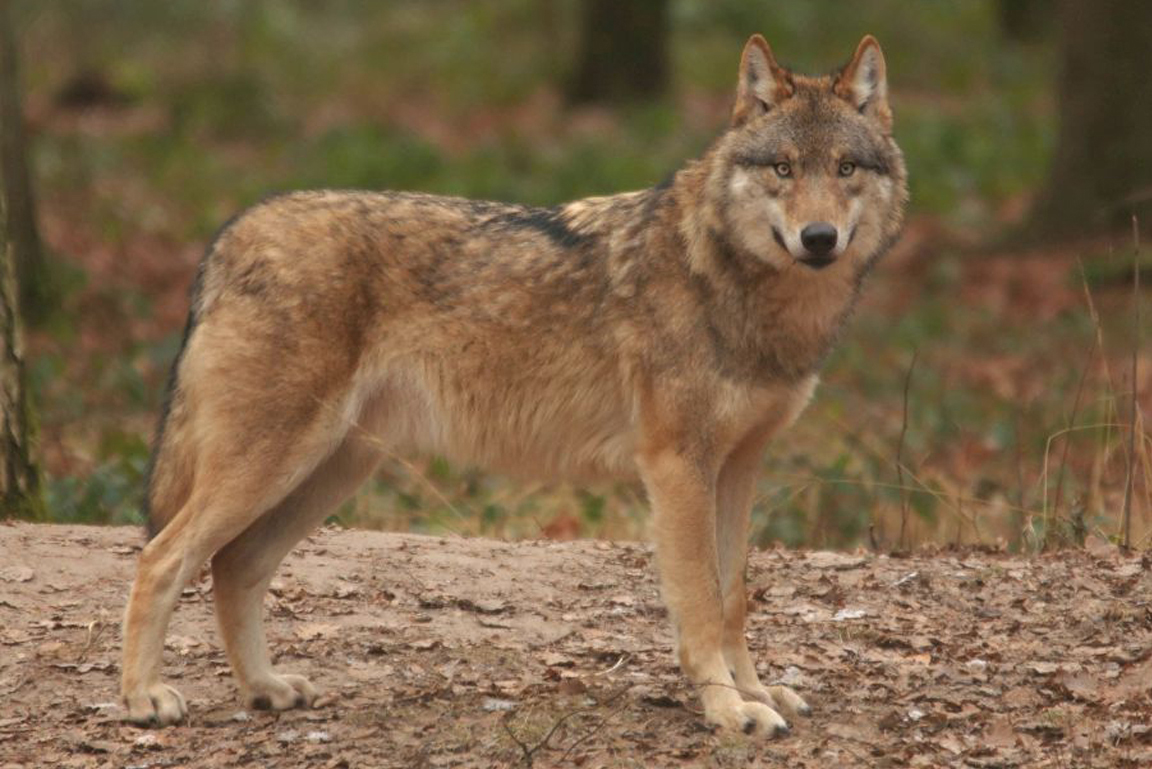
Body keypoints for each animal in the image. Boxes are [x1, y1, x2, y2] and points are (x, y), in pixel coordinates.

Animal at [121, 34, 906, 737]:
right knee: (161, 559)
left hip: (331, 468)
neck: (731, 279)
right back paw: (143, 699)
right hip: (273, 463)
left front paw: (757, 692)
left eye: (844, 168)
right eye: (782, 168)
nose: (818, 238)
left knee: (234, 565)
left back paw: (264, 688)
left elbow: (734, 596)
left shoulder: (739, 466)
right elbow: (701, 605)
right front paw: (729, 711)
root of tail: (232, 231)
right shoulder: (677, 467)